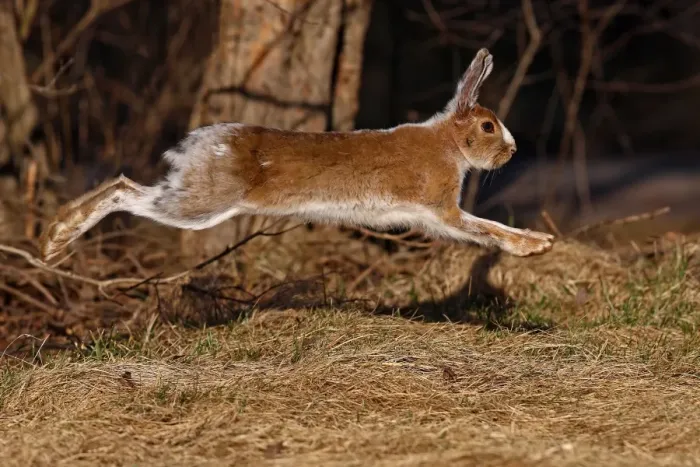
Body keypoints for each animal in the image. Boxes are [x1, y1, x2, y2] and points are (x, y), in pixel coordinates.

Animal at [39, 48, 554, 262]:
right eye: (488, 126)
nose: (512, 150)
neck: (448, 141)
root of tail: (197, 143)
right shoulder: (442, 209)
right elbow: (487, 228)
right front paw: (535, 245)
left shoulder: (433, 217)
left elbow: (483, 229)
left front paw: (538, 242)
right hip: (202, 203)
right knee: (124, 190)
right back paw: (56, 238)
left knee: (122, 185)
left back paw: (52, 236)